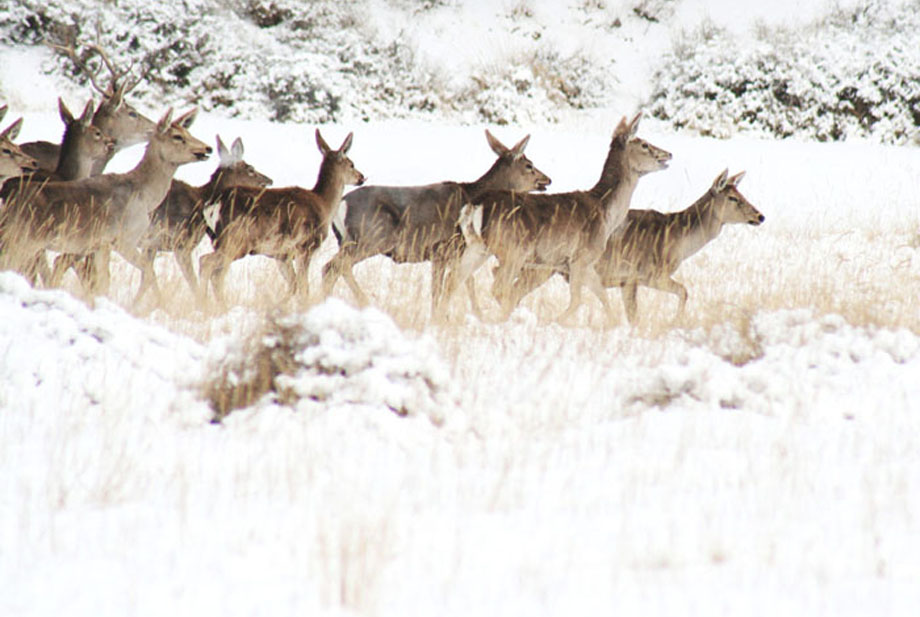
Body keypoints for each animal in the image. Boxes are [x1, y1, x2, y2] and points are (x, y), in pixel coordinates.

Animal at [0, 108, 210, 300]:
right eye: (177, 136)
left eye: (189, 133)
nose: (207, 148)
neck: (144, 197)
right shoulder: (123, 239)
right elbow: (147, 273)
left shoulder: (101, 244)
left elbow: (104, 282)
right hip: (25, 238)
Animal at [132, 135, 274, 300]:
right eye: (250, 169)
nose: (270, 180)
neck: (202, 199)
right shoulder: (182, 243)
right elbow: (190, 281)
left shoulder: (152, 245)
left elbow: (147, 277)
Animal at [199, 129, 364, 304]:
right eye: (351, 164)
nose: (361, 177)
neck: (323, 204)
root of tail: (212, 204)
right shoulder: (305, 246)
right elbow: (304, 287)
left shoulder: (282, 255)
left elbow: (293, 285)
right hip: (235, 240)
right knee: (209, 267)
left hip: (222, 241)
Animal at [320, 127, 548, 316]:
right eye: (529, 165)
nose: (547, 179)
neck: (471, 193)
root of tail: (341, 205)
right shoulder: (444, 248)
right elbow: (445, 286)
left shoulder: (451, 252)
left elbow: (464, 282)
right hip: (370, 238)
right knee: (332, 267)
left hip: (350, 241)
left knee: (338, 268)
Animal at [444, 112, 668, 322]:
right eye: (644, 144)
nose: (668, 154)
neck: (606, 212)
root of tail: (475, 205)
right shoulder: (581, 256)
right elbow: (577, 300)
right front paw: (554, 322)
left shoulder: (583, 263)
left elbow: (602, 295)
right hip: (513, 249)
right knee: (499, 287)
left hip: (477, 247)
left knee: (455, 280)